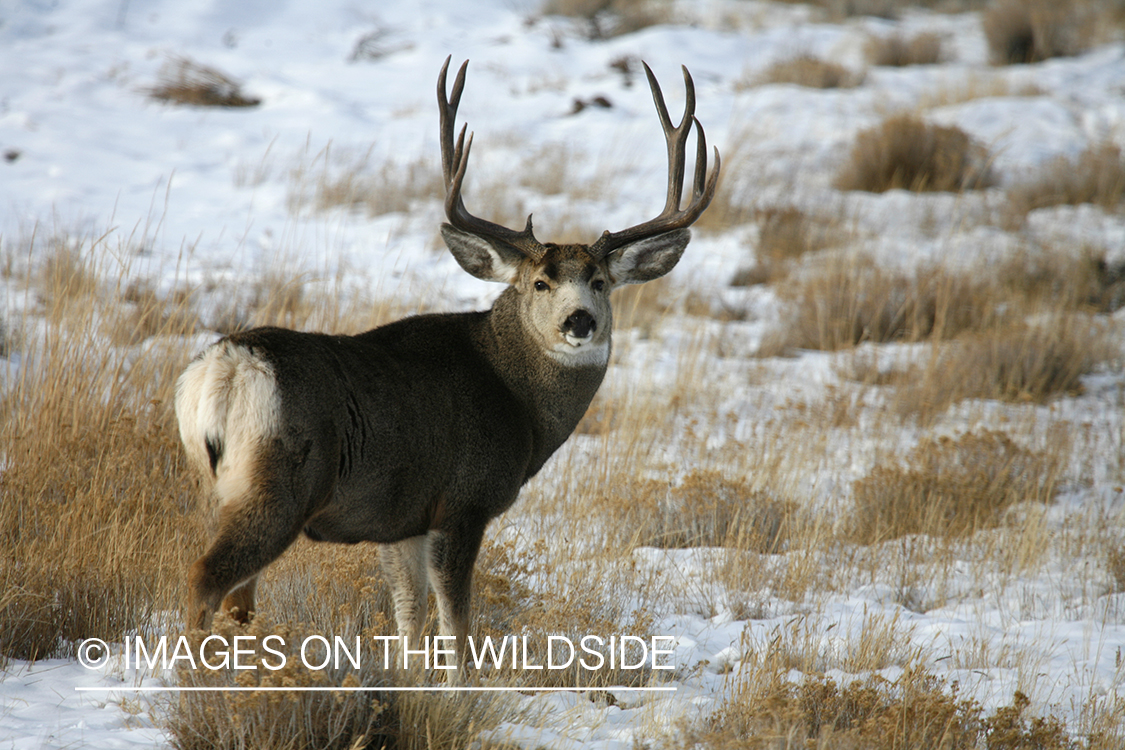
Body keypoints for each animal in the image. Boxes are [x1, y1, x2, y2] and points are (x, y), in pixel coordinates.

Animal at [174, 56, 719, 679]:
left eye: (601, 281)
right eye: (539, 283)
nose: (579, 320)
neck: (517, 397)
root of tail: (224, 368)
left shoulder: (402, 517)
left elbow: (409, 616)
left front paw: (411, 681)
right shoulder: (464, 502)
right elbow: (455, 623)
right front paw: (460, 687)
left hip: (216, 484)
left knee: (235, 595)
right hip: (280, 481)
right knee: (207, 576)